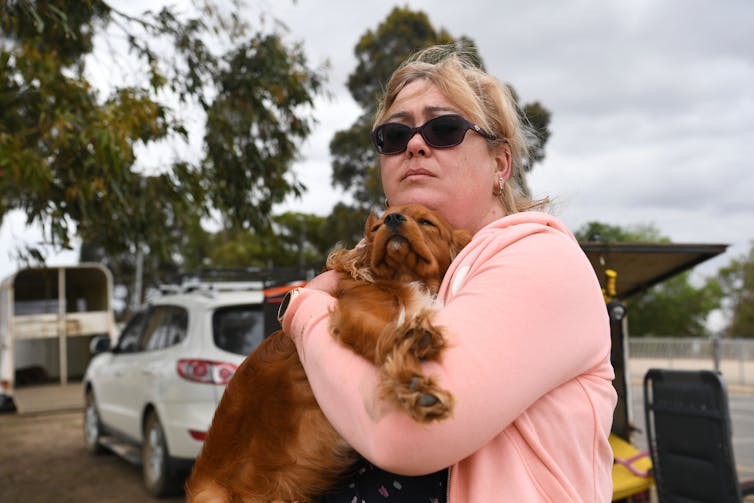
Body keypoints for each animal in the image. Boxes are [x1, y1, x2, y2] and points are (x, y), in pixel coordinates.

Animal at [187, 205, 470, 503]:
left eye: (426, 222)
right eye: (377, 225)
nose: (392, 219)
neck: (402, 280)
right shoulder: (354, 315)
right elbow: (386, 338)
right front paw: (415, 385)